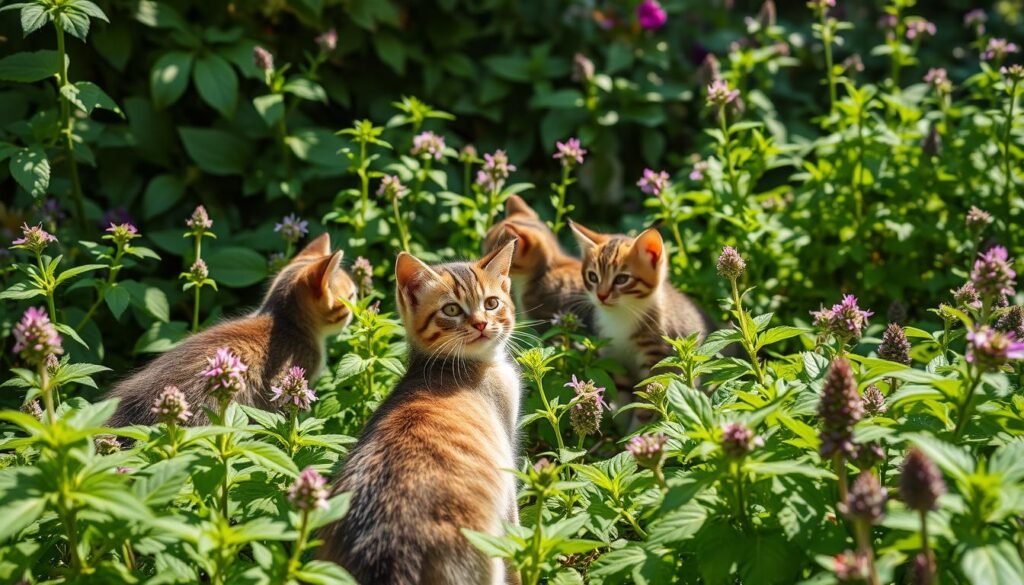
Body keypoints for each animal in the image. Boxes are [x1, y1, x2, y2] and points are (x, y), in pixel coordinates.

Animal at [569, 221, 712, 379]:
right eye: (593, 277)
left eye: (621, 279)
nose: (601, 295)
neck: (620, 315)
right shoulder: (609, 354)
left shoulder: (659, 351)